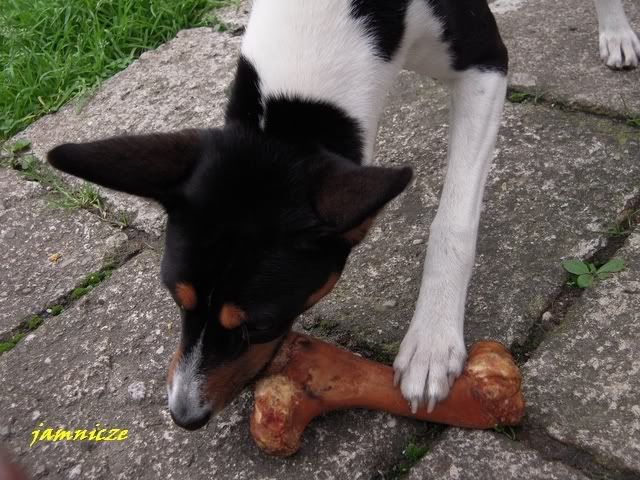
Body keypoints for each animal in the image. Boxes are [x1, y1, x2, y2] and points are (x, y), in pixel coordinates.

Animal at [47, 0, 637, 430]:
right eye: (176, 298)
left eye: (260, 323)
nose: (183, 416)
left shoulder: (485, 63)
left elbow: (453, 222)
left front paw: (432, 337)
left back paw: (616, 31)